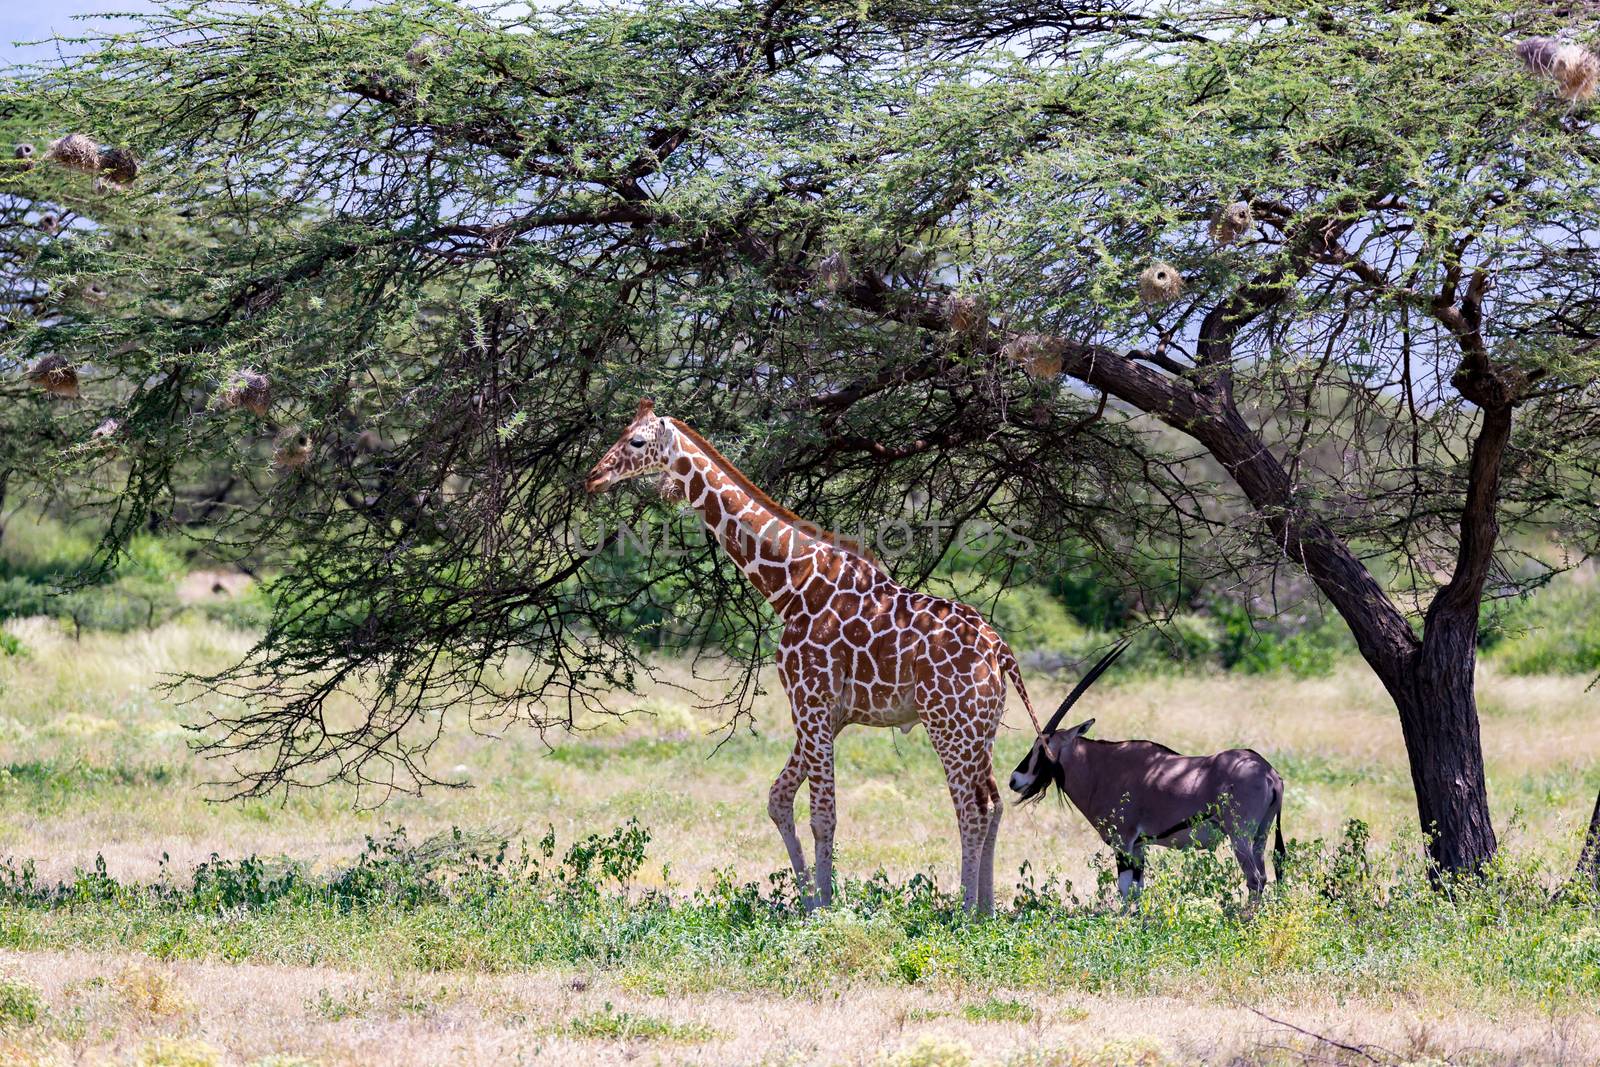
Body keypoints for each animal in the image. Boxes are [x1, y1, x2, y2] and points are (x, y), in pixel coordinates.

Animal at [582, 399, 1043, 921]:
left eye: (637, 441)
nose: (593, 477)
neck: (790, 584)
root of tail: (1000, 649)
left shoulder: (810, 698)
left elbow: (823, 814)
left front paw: (824, 905)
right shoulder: (830, 711)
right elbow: (779, 798)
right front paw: (807, 900)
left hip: (948, 721)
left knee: (971, 808)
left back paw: (963, 912)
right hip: (981, 727)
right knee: (994, 802)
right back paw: (986, 909)